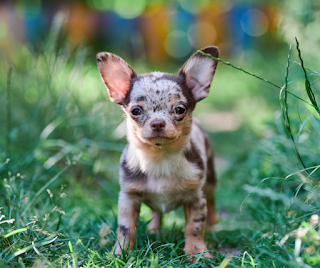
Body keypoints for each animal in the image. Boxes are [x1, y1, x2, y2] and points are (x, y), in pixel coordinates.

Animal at [96, 46, 219, 258]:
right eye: (136, 111)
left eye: (180, 109)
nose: (157, 123)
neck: (160, 158)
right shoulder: (128, 198)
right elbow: (126, 228)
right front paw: (121, 253)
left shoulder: (196, 197)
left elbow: (194, 227)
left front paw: (197, 254)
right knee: (156, 213)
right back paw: (154, 230)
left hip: (210, 181)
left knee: (211, 202)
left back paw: (213, 225)